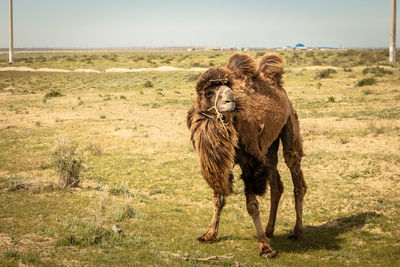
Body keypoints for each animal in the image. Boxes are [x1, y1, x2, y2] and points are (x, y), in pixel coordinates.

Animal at [187, 52, 306, 258]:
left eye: (228, 87)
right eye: (209, 93)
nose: (231, 99)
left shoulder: (249, 160)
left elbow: (252, 205)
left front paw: (265, 248)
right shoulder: (219, 163)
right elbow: (218, 199)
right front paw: (208, 235)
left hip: (289, 124)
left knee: (296, 175)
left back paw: (296, 231)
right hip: (268, 146)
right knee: (276, 184)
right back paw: (269, 230)